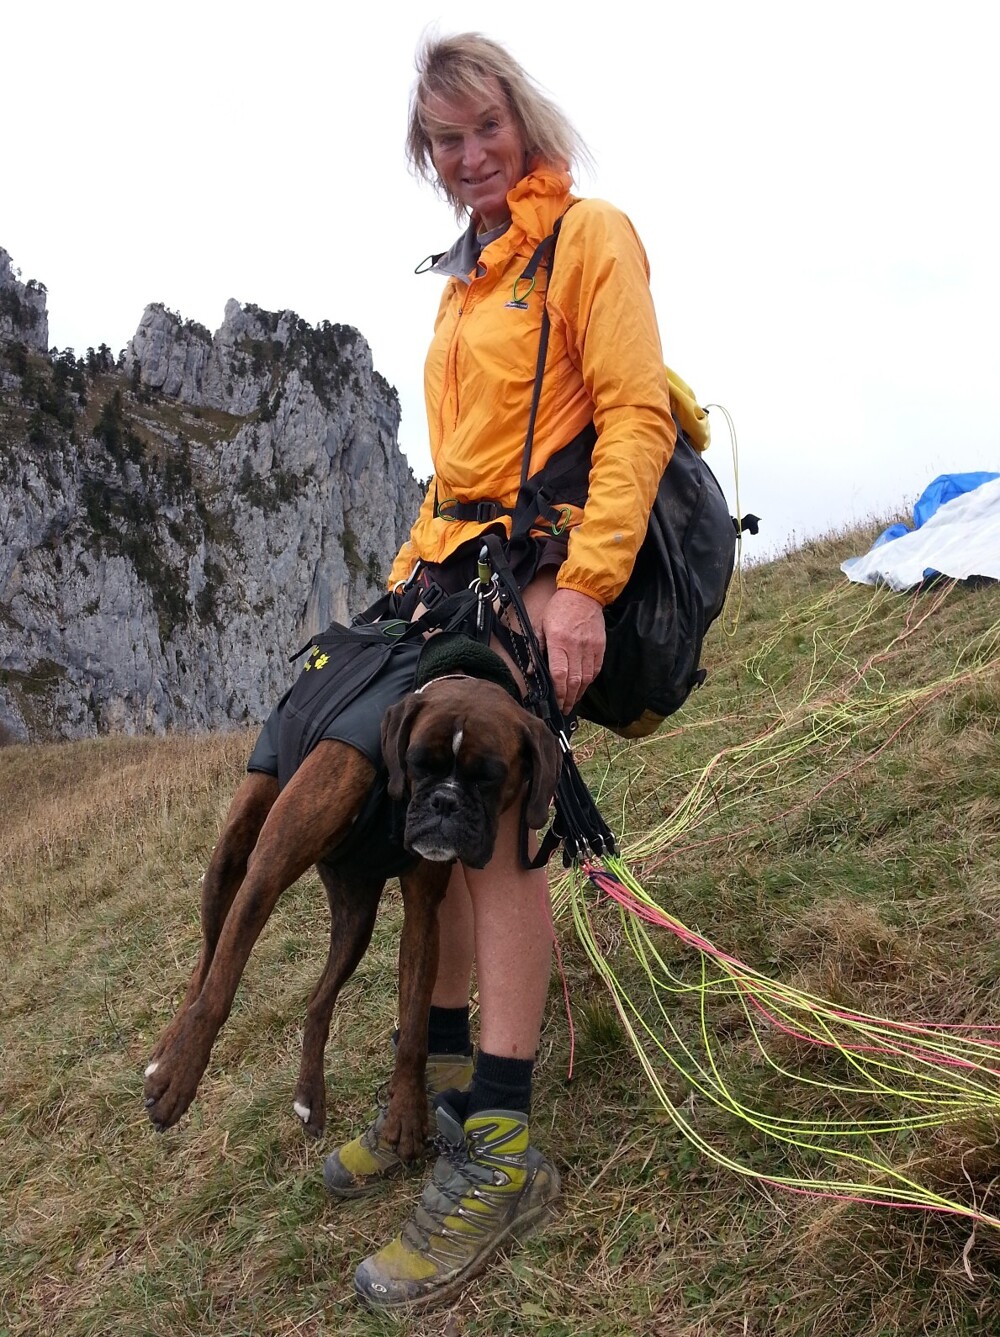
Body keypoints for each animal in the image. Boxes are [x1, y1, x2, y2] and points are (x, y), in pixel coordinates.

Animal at [142, 673, 561, 1165]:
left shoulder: (423, 914)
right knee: (206, 962)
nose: (444, 802)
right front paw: (178, 1077)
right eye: (419, 763)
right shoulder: (267, 872)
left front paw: (405, 1114)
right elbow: (218, 992)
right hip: (230, 858)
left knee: (319, 1000)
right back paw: (168, 1050)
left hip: (355, 919)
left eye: (489, 778)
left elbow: (415, 1025)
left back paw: (309, 1096)